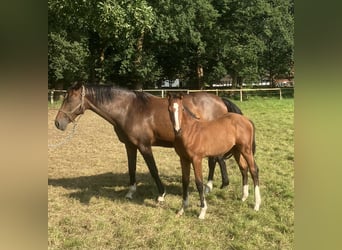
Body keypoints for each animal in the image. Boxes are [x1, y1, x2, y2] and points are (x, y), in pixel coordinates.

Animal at [54, 82, 243, 201]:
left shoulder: (144, 146)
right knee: (217, 160)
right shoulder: (130, 146)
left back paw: (209, 187)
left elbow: (153, 169)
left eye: (69, 99)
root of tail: (220, 100)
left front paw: (161, 194)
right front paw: (130, 192)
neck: (128, 109)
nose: (57, 123)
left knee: (214, 160)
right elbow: (131, 168)